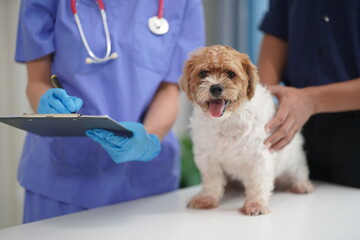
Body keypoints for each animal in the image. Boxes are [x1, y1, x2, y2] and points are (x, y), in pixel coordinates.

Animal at [179, 45, 314, 216]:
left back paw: (302, 185)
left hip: (295, 162)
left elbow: (258, 183)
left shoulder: (260, 156)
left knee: (299, 172)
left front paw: (256, 204)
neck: (226, 121)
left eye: (230, 74)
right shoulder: (207, 157)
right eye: (203, 73)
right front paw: (207, 198)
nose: (215, 87)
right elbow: (212, 180)